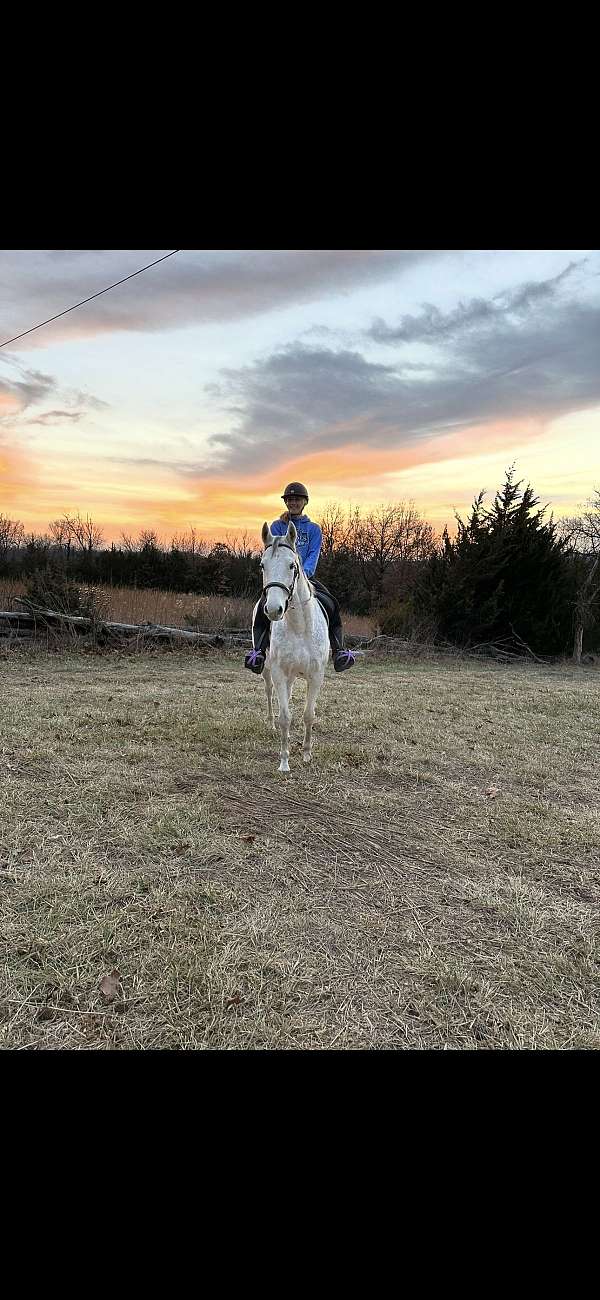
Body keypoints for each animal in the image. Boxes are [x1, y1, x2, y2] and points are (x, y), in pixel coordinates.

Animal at [255, 520, 330, 774]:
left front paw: (306, 754)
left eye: (291, 565)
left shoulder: (316, 675)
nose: (273, 610)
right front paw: (284, 761)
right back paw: (270, 724)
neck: (298, 627)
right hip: (269, 671)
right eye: (262, 565)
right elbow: (285, 717)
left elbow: (309, 715)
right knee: (270, 693)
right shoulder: (279, 672)